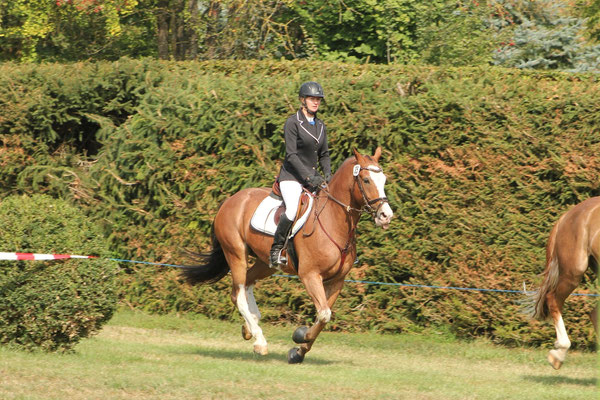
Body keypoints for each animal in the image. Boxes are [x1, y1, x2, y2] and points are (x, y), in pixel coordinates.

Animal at [180, 147, 394, 362]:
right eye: (366, 180)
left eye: (384, 179)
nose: (386, 216)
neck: (334, 220)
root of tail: (231, 200)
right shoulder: (310, 276)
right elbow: (324, 314)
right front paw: (300, 336)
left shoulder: (337, 281)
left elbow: (324, 316)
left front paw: (298, 352)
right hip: (236, 254)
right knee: (239, 294)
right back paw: (260, 341)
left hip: (265, 263)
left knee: (245, 285)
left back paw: (250, 327)